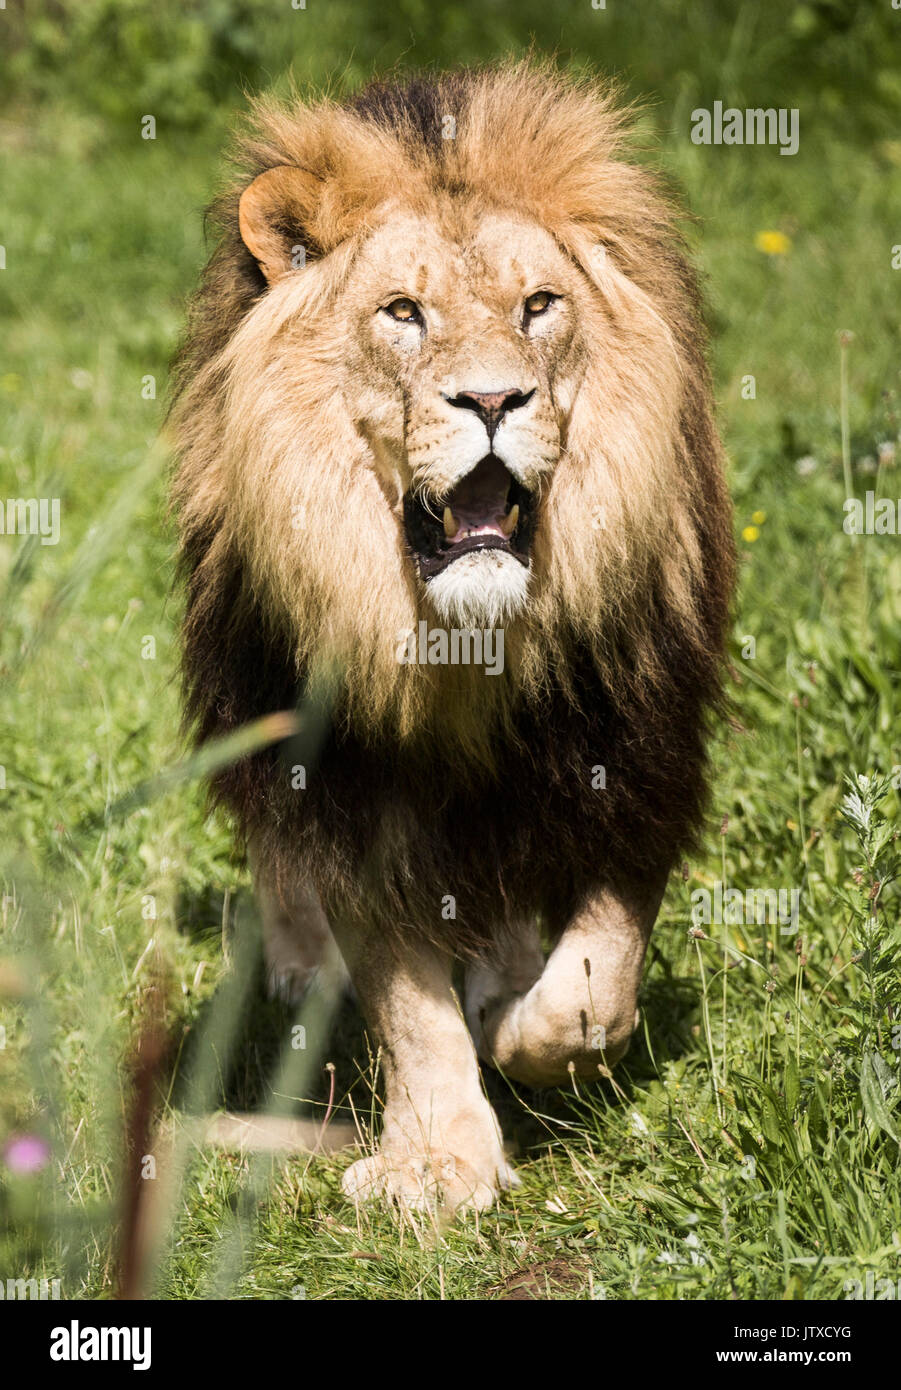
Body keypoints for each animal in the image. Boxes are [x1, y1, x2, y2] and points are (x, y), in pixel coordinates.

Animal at [170, 60, 734, 1212]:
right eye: (403, 312)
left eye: (538, 306)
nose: (491, 397)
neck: (464, 651)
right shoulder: (348, 787)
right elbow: (402, 993)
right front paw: (438, 1162)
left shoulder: (636, 750)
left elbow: (596, 975)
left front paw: (527, 1032)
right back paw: (303, 966)